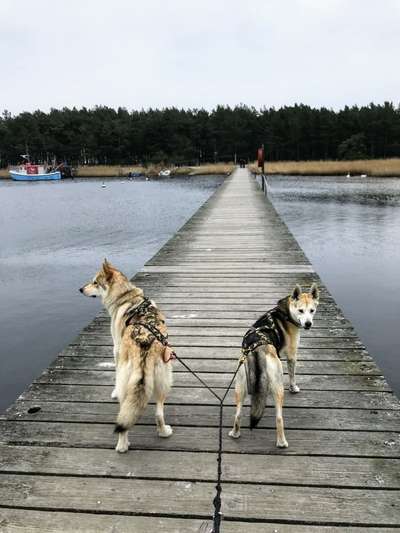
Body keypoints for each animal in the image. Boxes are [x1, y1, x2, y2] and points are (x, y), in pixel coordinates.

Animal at [80, 260, 173, 450]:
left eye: (94, 282)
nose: (80, 289)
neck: (127, 296)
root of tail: (144, 346)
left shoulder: (116, 349)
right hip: (163, 381)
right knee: (158, 414)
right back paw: (163, 432)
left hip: (127, 383)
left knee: (123, 417)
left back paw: (122, 445)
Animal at [228, 284, 318, 446]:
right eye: (301, 310)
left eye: (312, 310)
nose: (308, 324)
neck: (286, 312)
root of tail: (257, 349)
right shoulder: (292, 356)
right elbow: (292, 375)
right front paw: (294, 388)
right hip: (278, 385)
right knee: (279, 418)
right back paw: (282, 442)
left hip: (240, 385)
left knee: (237, 414)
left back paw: (235, 433)